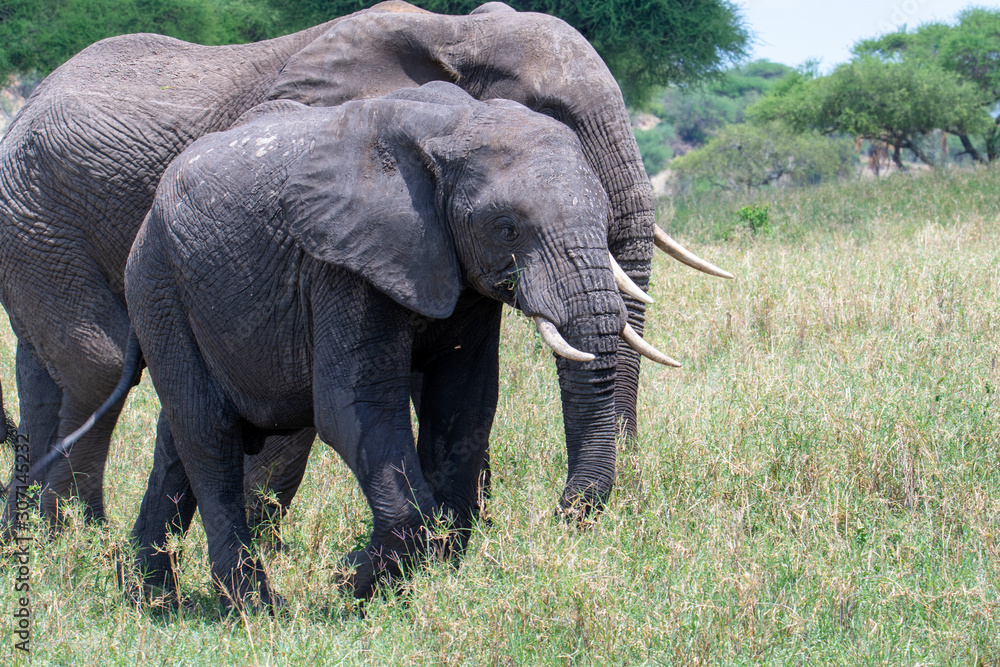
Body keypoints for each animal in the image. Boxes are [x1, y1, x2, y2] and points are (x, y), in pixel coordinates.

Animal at [0, 0, 729, 533]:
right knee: (98, 366)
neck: (453, 30)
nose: (563, 517)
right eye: (553, 114)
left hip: (33, 228)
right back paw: (78, 539)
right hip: (41, 214)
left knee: (46, 375)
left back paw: (27, 543)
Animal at [100, 82, 676, 606]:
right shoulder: (342, 264)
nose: (562, 516)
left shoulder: (456, 272)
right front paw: (352, 583)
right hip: (157, 283)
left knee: (177, 438)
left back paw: (147, 597)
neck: (454, 125)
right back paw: (252, 607)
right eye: (507, 228)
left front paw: (420, 575)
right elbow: (353, 411)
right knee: (208, 433)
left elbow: (463, 404)